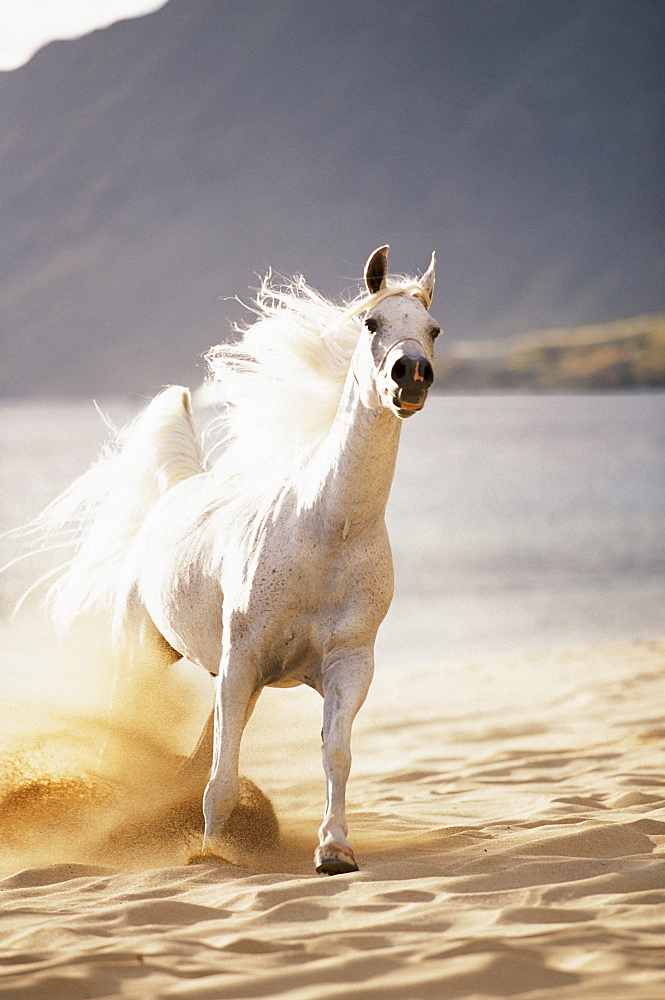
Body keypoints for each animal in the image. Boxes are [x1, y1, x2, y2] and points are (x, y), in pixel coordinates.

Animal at [18, 246, 438, 872]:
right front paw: (214, 855)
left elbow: (334, 755)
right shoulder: (243, 659)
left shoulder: (346, 665)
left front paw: (334, 850)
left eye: (432, 329)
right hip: (148, 654)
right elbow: (222, 775)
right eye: (371, 323)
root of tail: (176, 490)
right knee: (132, 731)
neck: (326, 532)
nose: (410, 375)